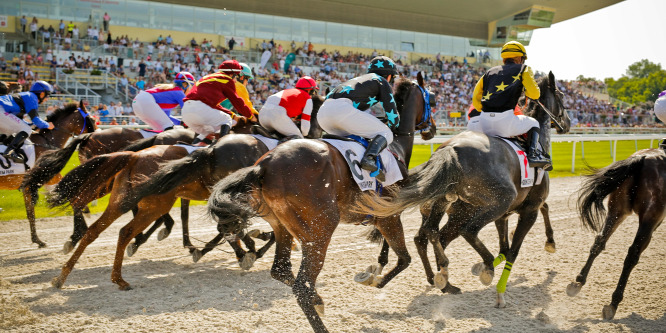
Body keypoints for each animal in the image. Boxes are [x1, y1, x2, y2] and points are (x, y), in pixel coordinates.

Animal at [0, 101, 97, 246]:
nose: (96, 137)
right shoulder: (50, 178)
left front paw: (37, 240)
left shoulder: (29, 185)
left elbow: (30, 213)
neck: (47, 142)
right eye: (93, 119)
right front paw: (84, 216)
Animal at [208, 75, 436, 332]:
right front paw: (373, 279)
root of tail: (265, 165)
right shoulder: (389, 214)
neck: (396, 146)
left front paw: (376, 268)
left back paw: (316, 298)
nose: (432, 129)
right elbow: (404, 259)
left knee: (282, 270)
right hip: (321, 229)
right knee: (300, 286)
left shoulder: (382, 215)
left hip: (283, 225)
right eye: (432, 98)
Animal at [356, 71, 568, 308]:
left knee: (430, 234)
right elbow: (513, 250)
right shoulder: (529, 209)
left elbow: (505, 247)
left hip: (452, 205)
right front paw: (500, 288)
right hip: (493, 202)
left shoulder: (503, 215)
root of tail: (450, 149)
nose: (567, 124)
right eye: (561, 96)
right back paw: (477, 269)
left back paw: (441, 277)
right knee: (466, 231)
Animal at [564, 148, 664, 320]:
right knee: (632, 254)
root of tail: (643, 158)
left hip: (617, 210)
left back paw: (578, 282)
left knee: (599, 241)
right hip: (649, 218)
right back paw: (613, 303)